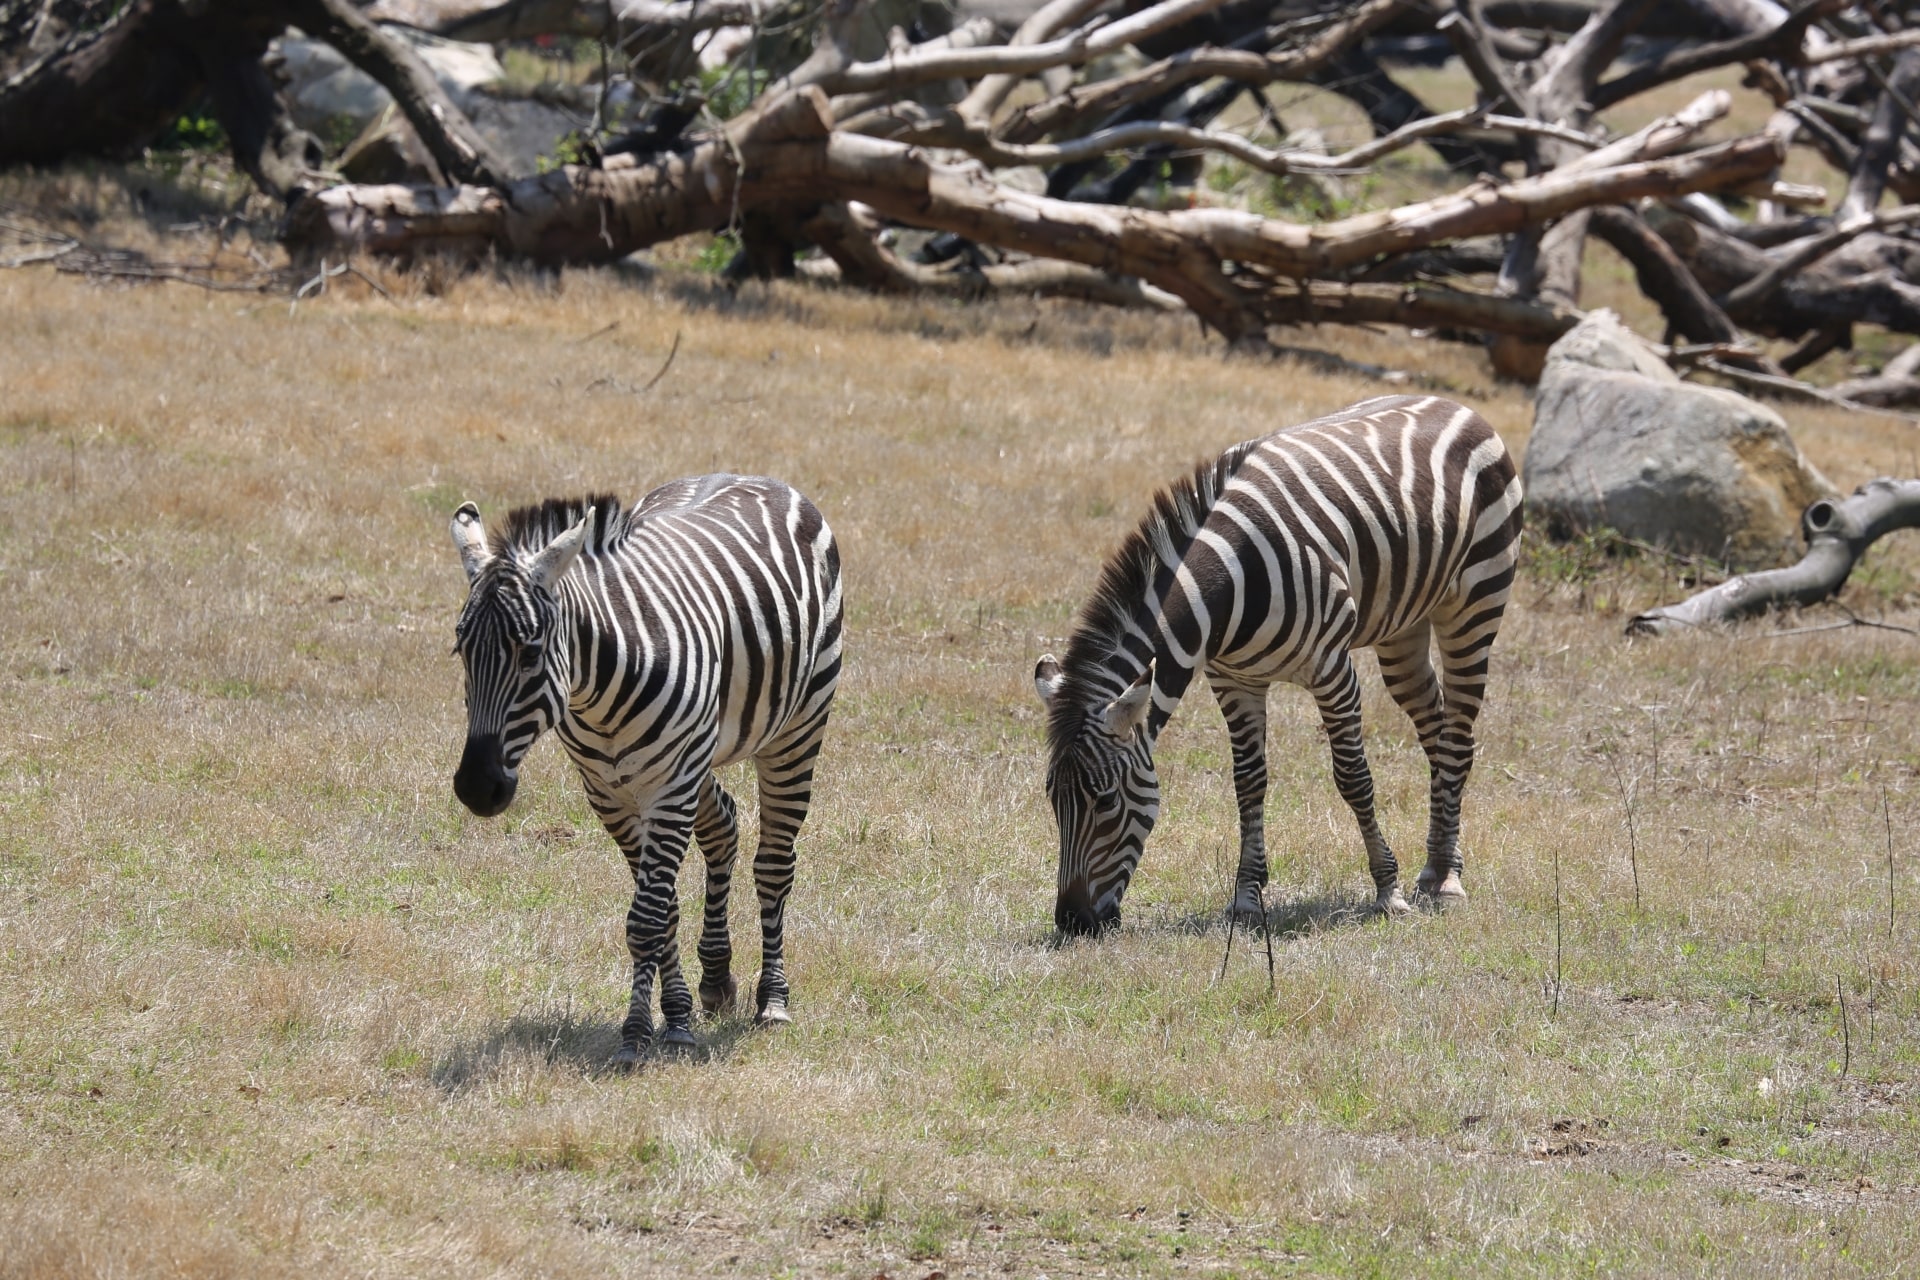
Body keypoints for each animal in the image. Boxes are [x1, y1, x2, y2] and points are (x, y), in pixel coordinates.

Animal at [453, 475, 844, 1066]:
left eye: (530, 652)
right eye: (460, 650)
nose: (477, 788)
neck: (597, 691)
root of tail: (755, 477)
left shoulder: (670, 785)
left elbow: (647, 917)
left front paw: (639, 1033)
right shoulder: (609, 794)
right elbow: (663, 913)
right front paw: (677, 1012)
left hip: (796, 728)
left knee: (775, 862)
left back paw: (773, 999)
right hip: (696, 752)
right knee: (724, 824)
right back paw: (717, 978)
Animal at [1044, 395, 1520, 936]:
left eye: (1106, 801)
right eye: (1052, 800)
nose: (1072, 921)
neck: (1228, 588)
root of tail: (1455, 403)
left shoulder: (1333, 671)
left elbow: (1353, 777)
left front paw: (1387, 890)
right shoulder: (1234, 681)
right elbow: (1249, 783)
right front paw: (1247, 898)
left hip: (1475, 604)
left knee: (1458, 737)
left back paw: (1448, 882)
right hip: (1404, 628)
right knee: (1436, 730)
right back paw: (1436, 867)